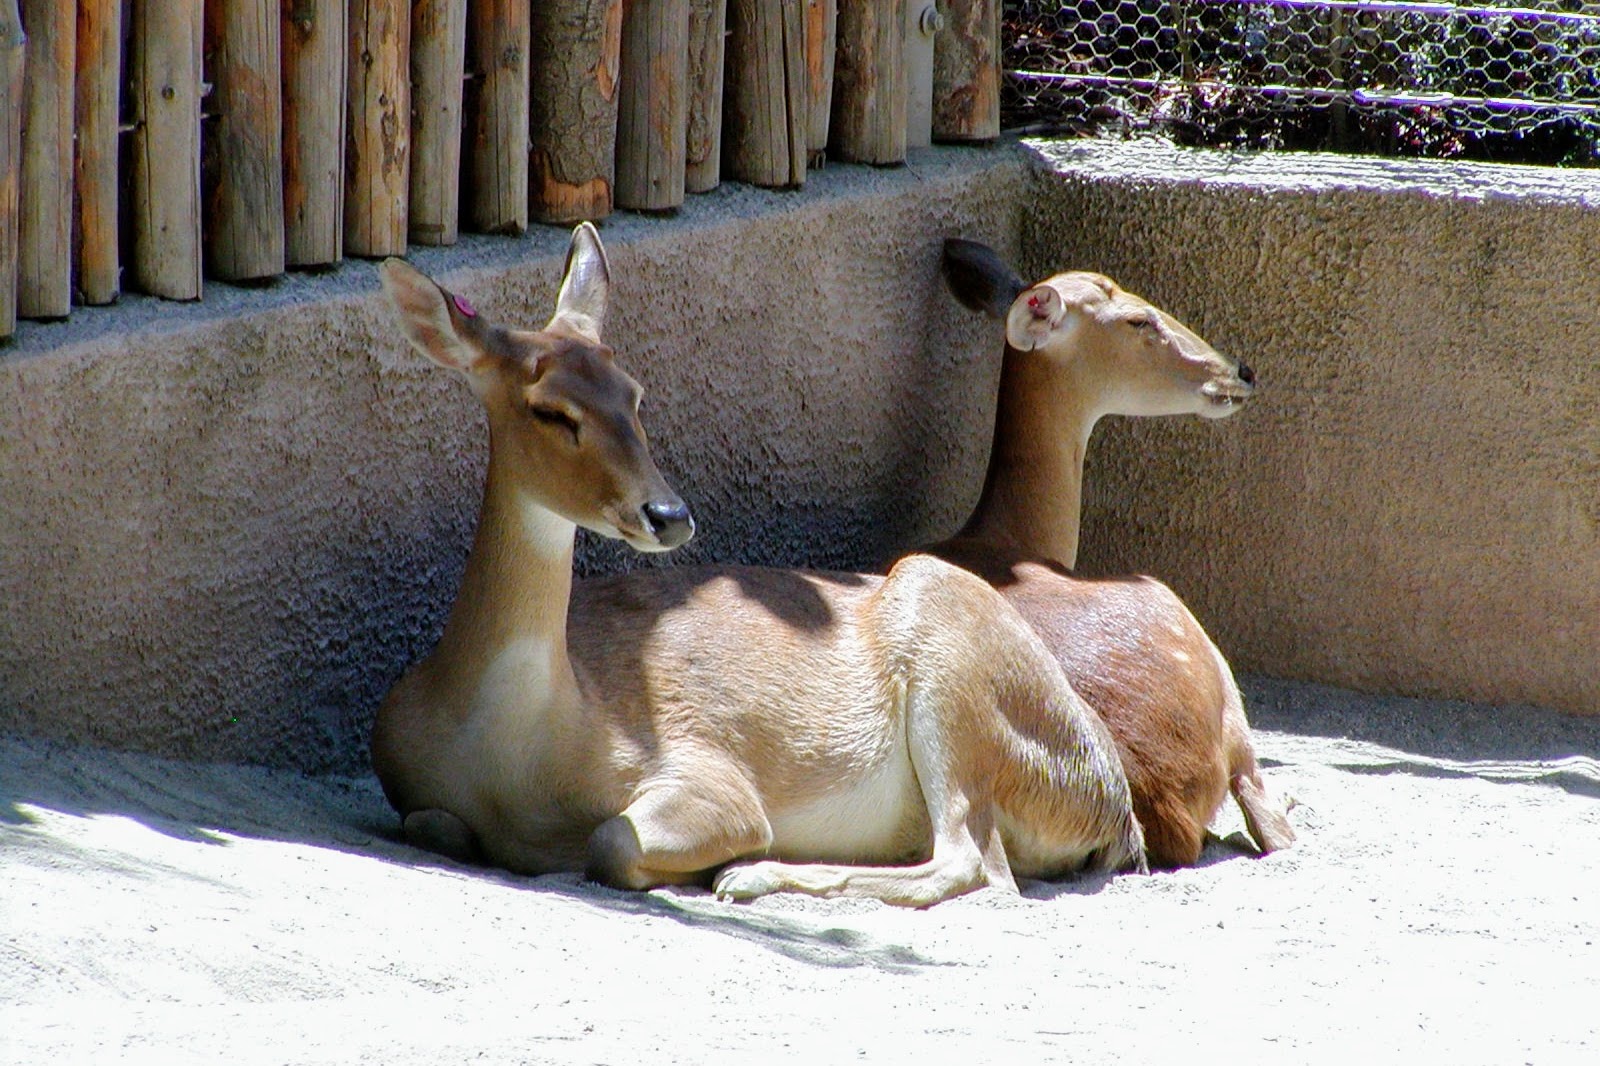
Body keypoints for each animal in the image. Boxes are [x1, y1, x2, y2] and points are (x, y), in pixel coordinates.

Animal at [369, 223, 1147, 908]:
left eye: (635, 393)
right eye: (549, 410)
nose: (668, 513)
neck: (518, 749)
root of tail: (1113, 812)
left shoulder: (704, 772)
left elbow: (612, 841)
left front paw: (714, 860)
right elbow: (432, 822)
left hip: (955, 675)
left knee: (972, 868)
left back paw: (748, 876)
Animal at [923, 238, 1296, 869]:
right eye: (1137, 319)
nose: (1239, 371)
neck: (1007, 536)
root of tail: (1166, 803)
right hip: (1197, 644)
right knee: (1268, 814)